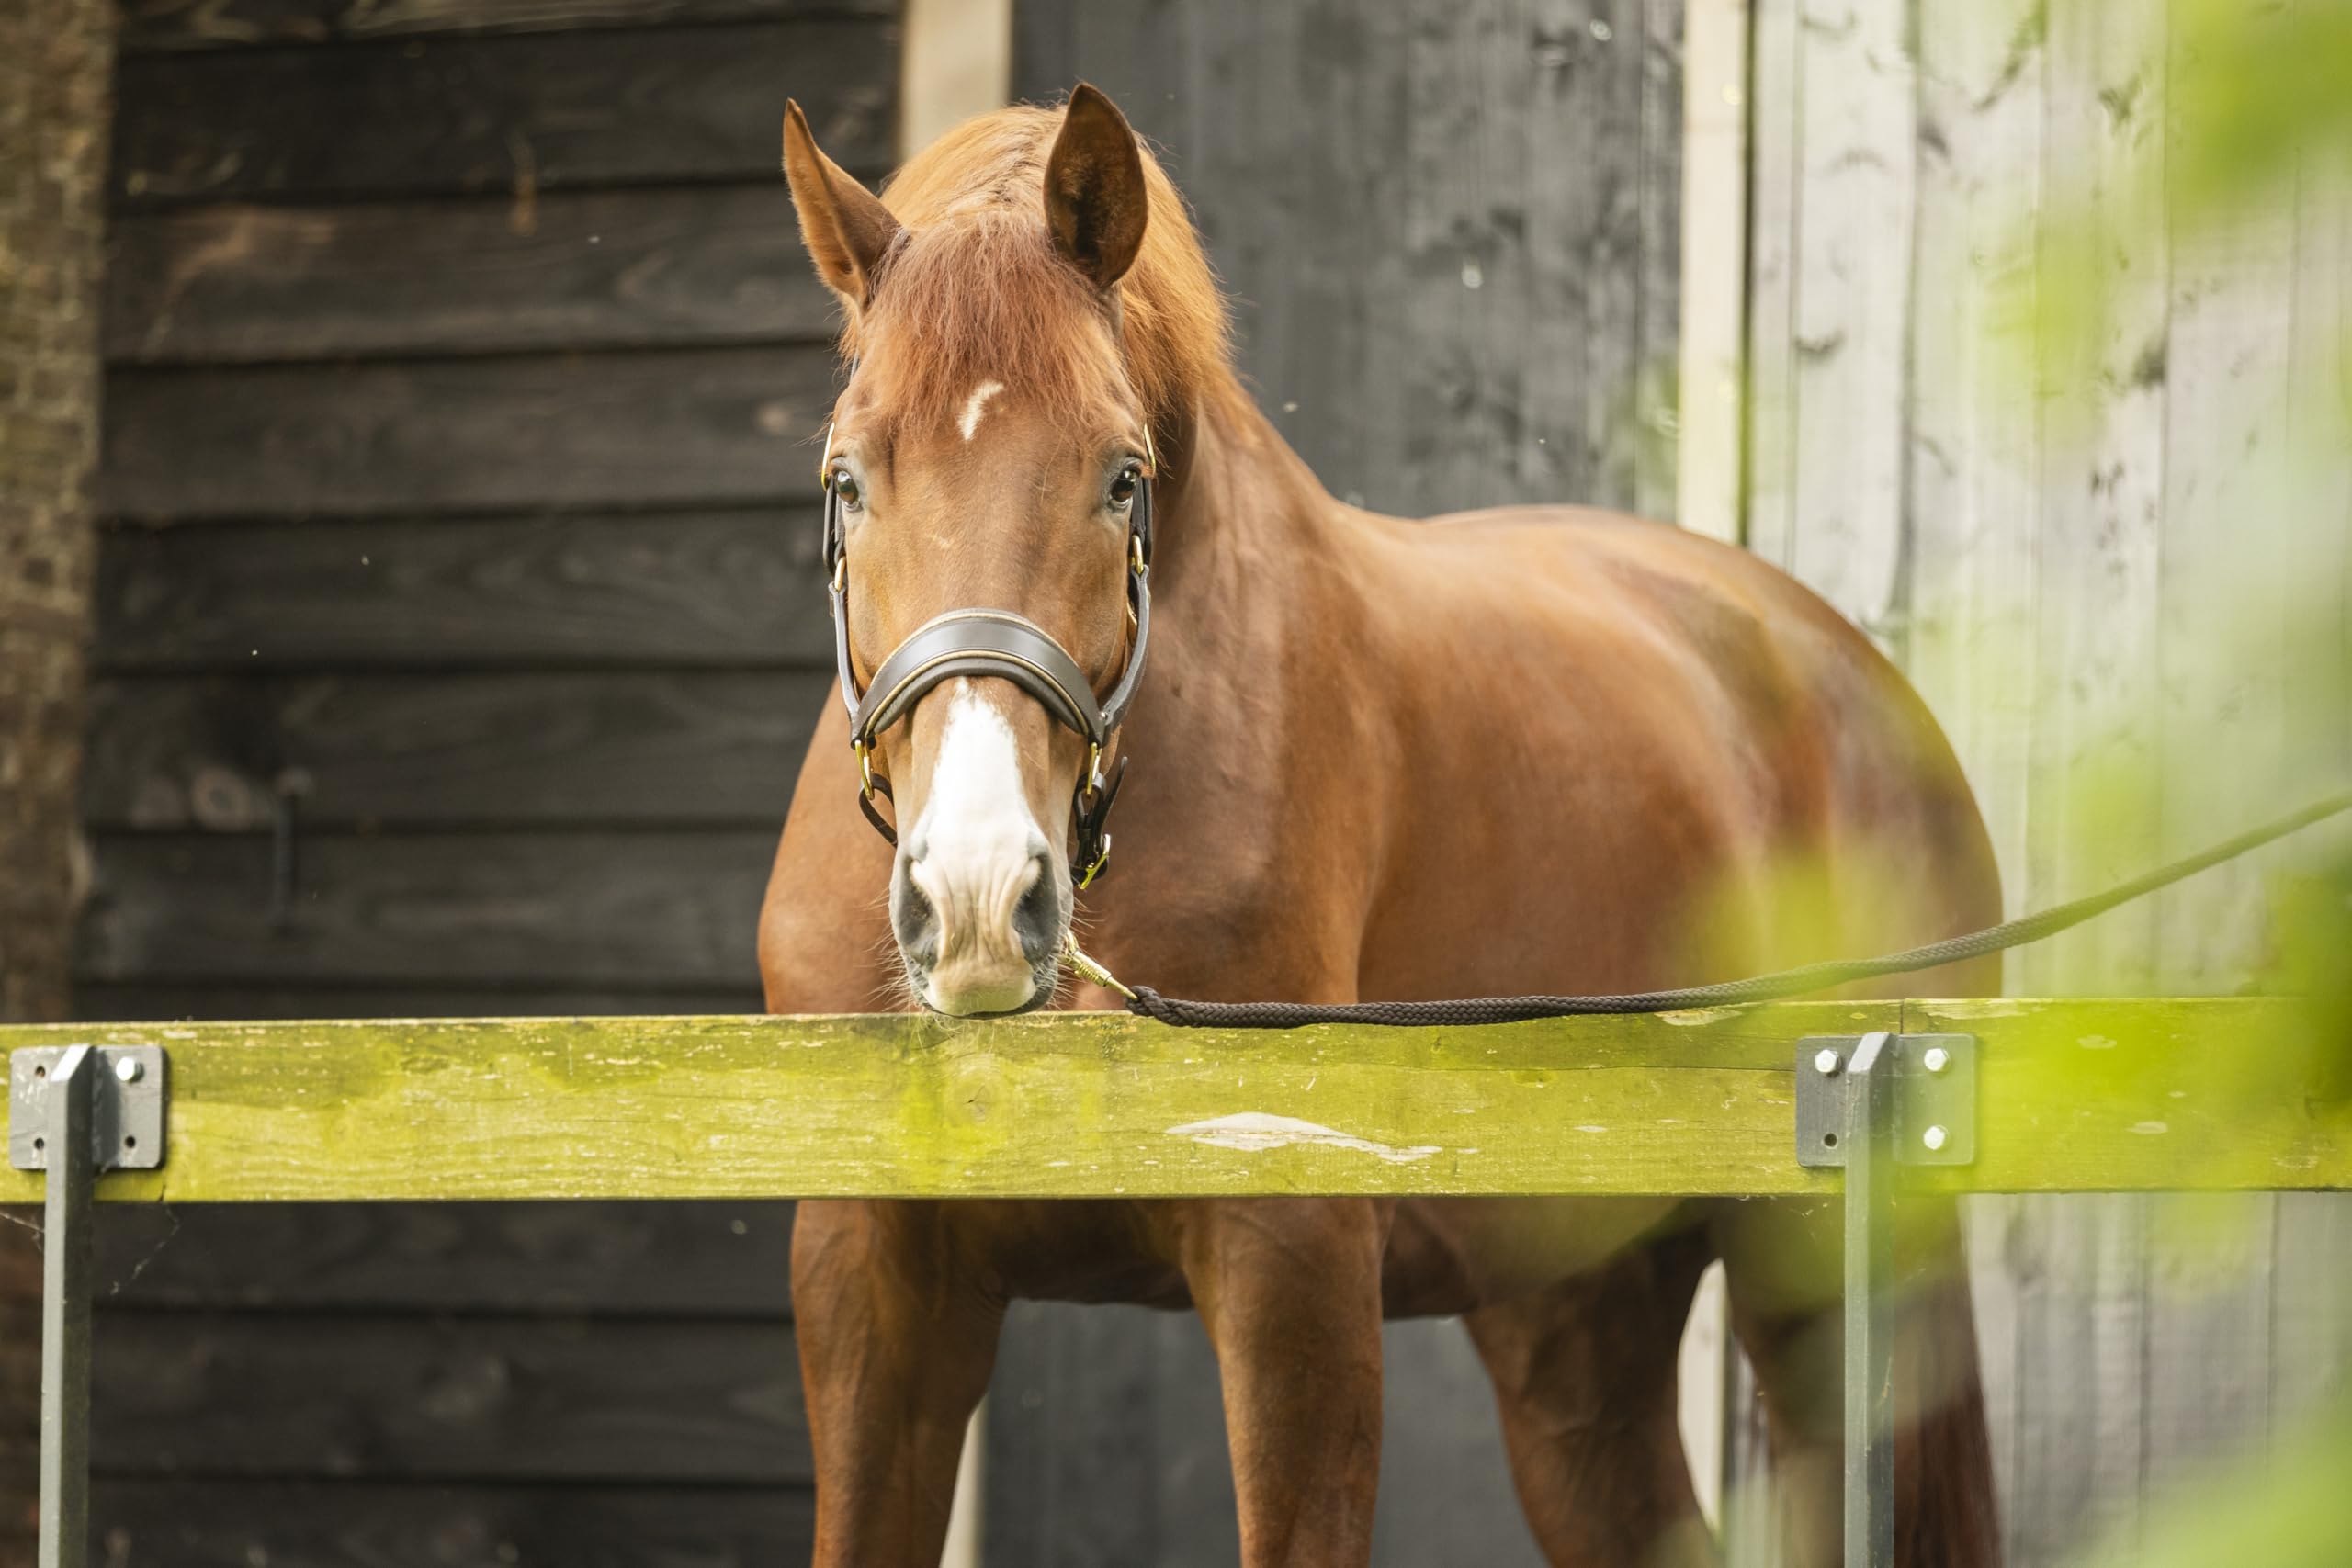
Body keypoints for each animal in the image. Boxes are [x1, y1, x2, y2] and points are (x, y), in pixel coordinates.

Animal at [758, 85, 2002, 1568]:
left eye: (1120, 477)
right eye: (846, 479)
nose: (979, 899)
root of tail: (1850, 676)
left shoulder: (1292, 1264)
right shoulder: (873, 1272)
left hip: (1818, 1291)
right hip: (1576, 1317)